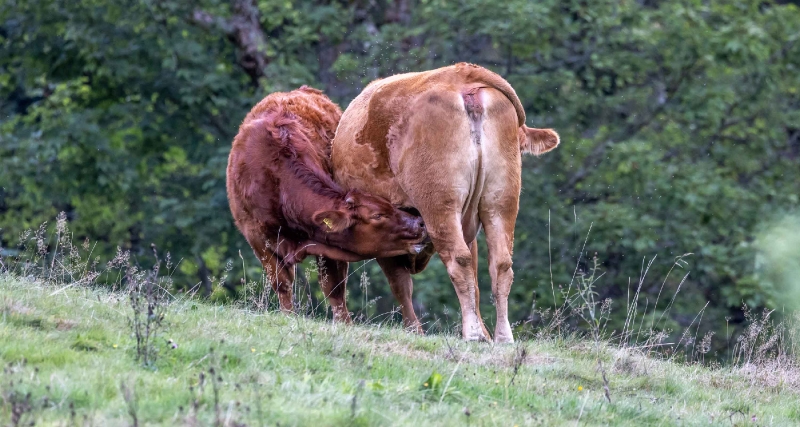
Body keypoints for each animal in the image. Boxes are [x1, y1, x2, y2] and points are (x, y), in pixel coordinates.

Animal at [330, 62, 556, 344]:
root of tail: (461, 75)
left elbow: (400, 284)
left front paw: (415, 330)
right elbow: (475, 284)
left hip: (440, 204)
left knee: (458, 260)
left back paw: (473, 334)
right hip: (500, 202)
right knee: (500, 264)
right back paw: (502, 337)